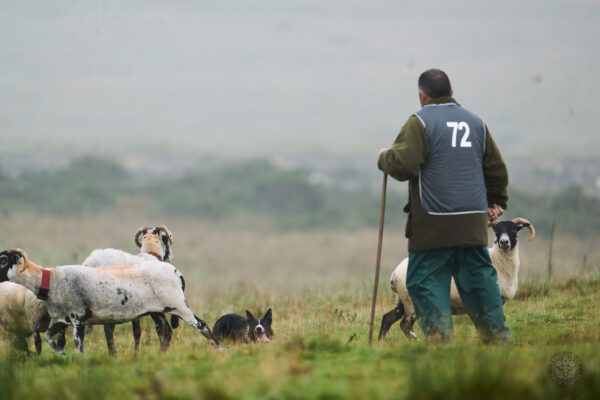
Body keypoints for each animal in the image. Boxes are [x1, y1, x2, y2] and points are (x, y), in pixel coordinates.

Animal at [0, 248, 220, 354]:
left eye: (3, 259)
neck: (50, 279)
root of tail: (176, 272)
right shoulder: (63, 320)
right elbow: (49, 338)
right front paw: (61, 355)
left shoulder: (78, 317)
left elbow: (77, 342)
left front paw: (80, 360)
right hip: (157, 310)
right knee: (165, 331)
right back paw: (161, 356)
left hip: (179, 305)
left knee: (202, 325)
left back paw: (220, 350)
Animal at [380, 216, 536, 340]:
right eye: (496, 231)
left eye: (514, 230)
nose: (504, 243)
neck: (498, 263)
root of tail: (394, 274)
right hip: (411, 301)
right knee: (405, 325)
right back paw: (417, 341)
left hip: (402, 301)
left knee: (387, 319)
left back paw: (381, 343)